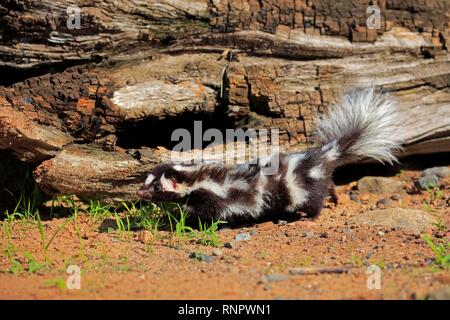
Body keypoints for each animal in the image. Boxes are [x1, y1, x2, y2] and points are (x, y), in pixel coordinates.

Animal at [137, 89, 404, 221]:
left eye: (156, 188)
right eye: (146, 181)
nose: (139, 192)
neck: (198, 178)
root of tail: (325, 155)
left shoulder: (217, 197)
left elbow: (212, 214)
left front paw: (187, 220)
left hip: (303, 187)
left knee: (313, 201)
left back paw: (306, 217)